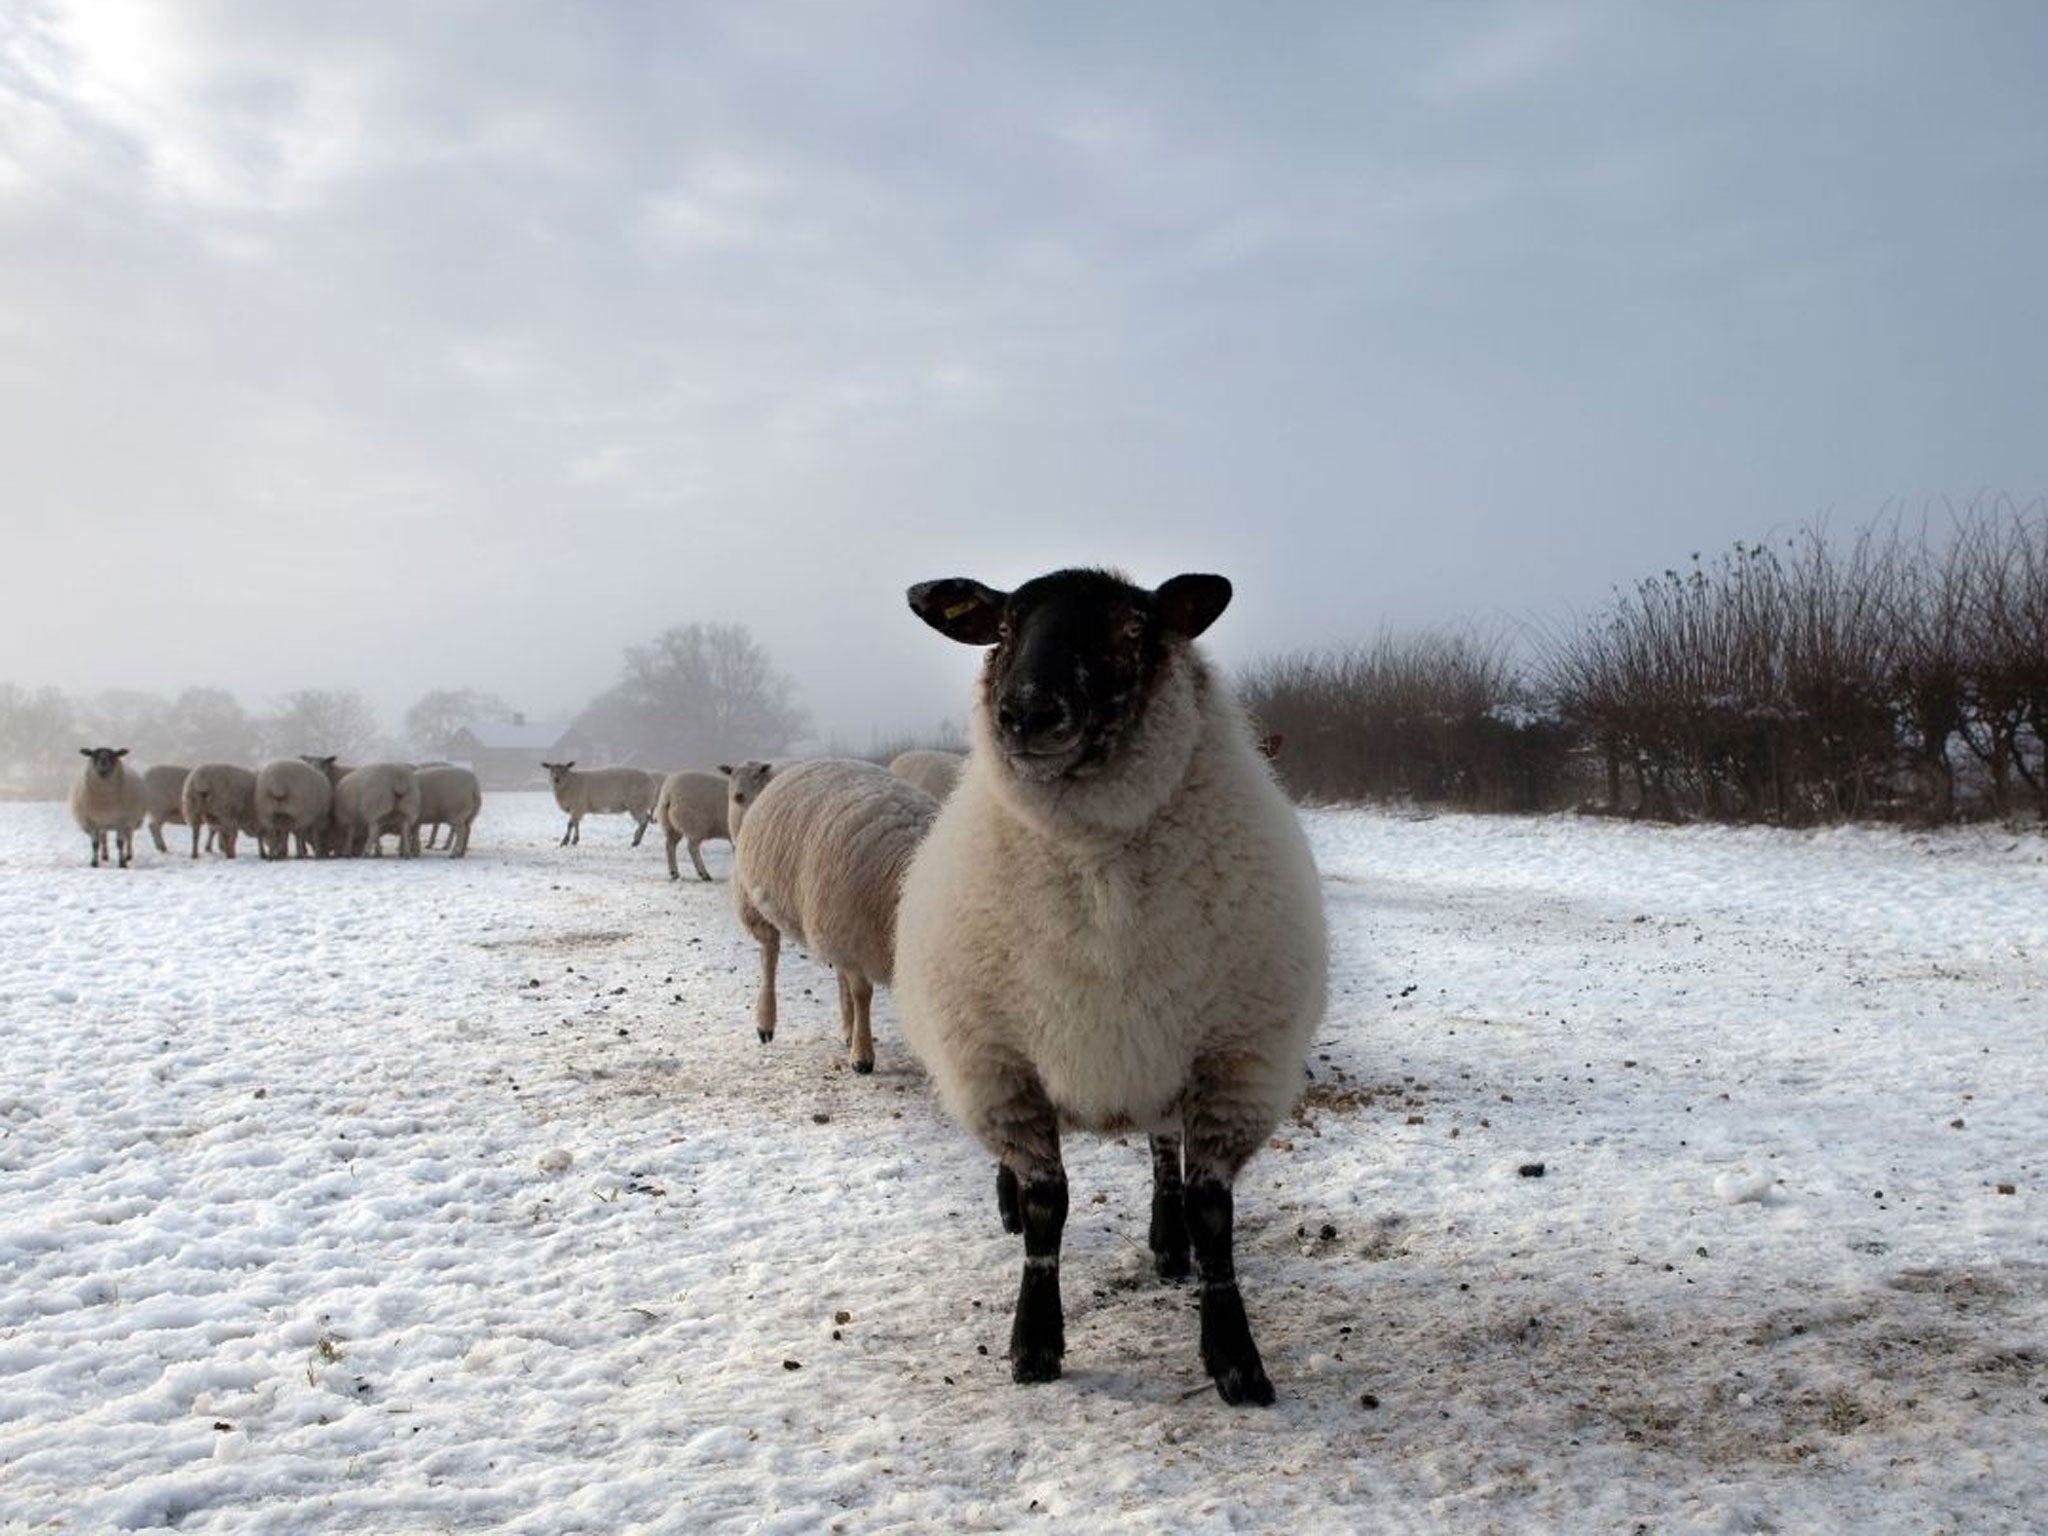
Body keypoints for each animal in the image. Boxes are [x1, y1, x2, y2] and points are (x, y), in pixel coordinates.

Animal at [729, 753, 937, 1073]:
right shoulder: (853, 936)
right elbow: (863, 994)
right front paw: (862, 1057)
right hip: (760, 902)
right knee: (769, 955)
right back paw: (766, 1023)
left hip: (829, 923)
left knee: (839, 977)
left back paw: (847, 1030)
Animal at [897, 565, 1327, 1409]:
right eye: (1004, 629)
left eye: (1133, 628)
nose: (1026, 712)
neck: (1094, 859)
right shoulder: (999, 1068)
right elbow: (1047, 1206)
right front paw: (1034, 1343)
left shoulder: (1234, 1064)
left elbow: (1211, 1212)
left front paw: (1236, 1360)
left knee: (1163, 1153)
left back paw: (1167, 1246)